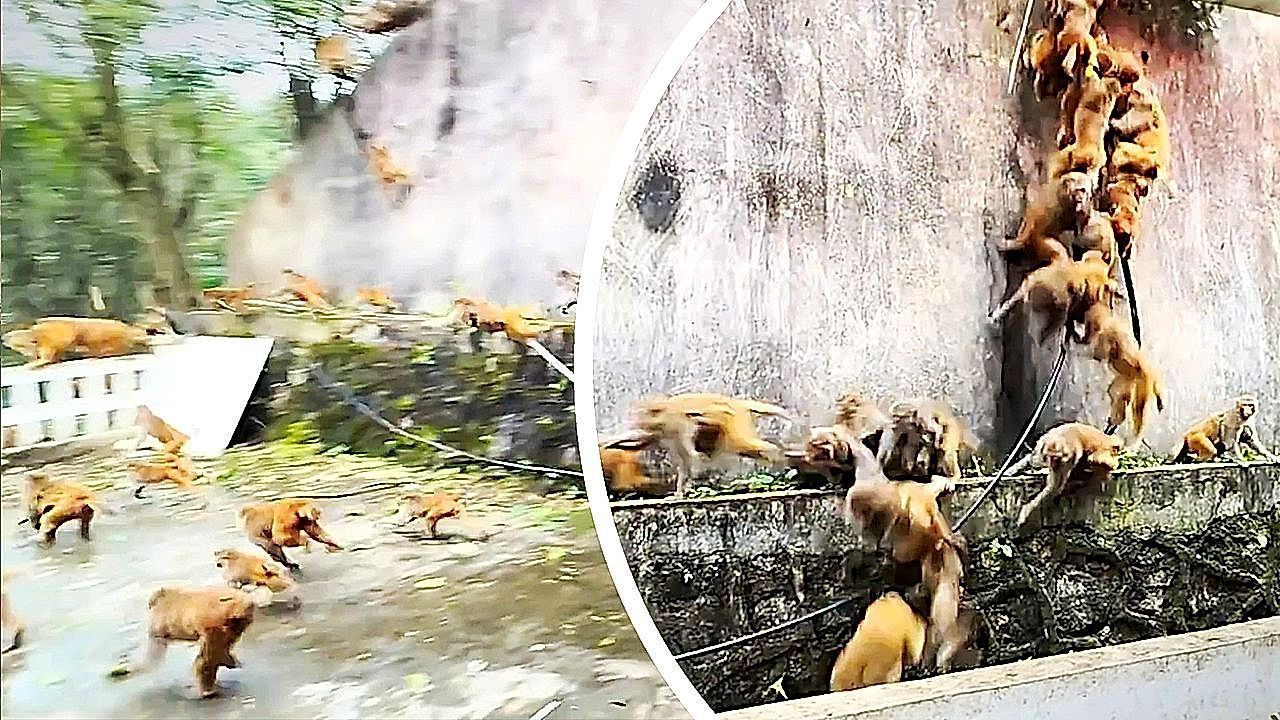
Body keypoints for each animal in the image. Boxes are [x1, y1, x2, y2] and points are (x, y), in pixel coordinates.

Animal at [632, 393, 792, 497]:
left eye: (644, 414)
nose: (637, 422)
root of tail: (738, 403)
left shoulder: (678, 424)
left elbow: (691, 457)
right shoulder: (671, 433)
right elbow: (685, 460)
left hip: (735, 419)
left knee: (739, 442)